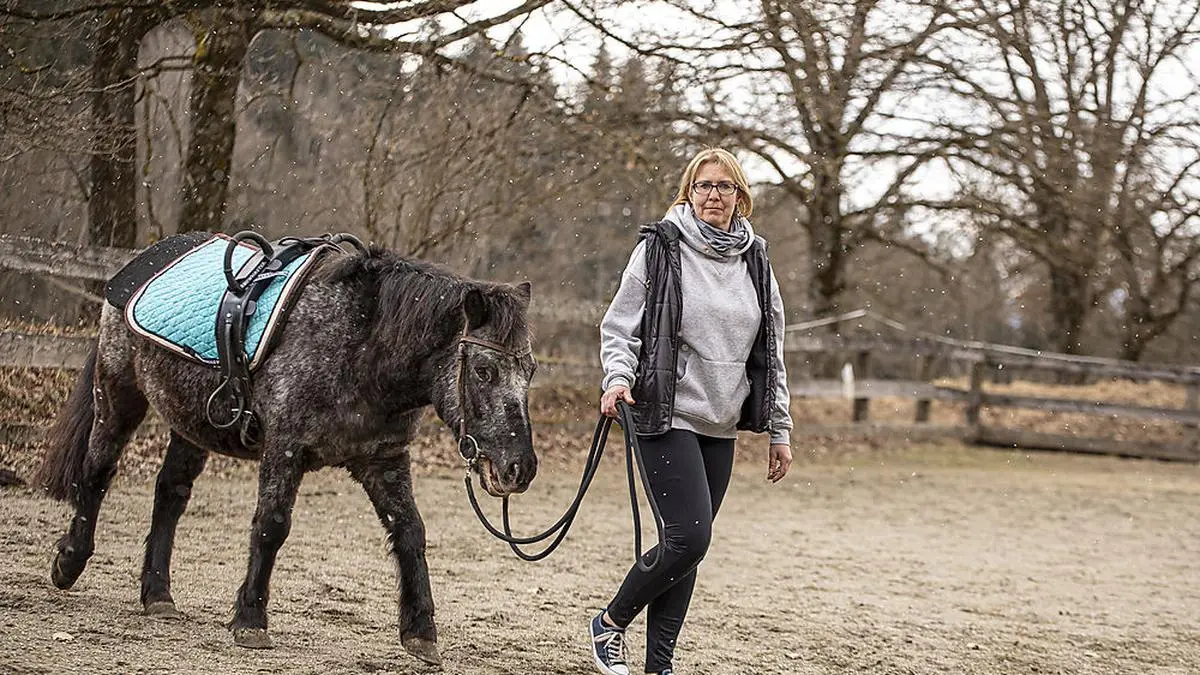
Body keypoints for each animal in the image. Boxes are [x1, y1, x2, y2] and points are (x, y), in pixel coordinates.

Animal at [34, 241, 539, 666]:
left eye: (530, 370)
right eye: (485, 370)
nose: (521, 468)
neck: (360, 346)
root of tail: (139, 264)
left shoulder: (383, 460)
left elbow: (410, 532)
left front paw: (420, 631)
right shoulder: (286, 448)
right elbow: (272, 526)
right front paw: (251, 619)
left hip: (191, 423)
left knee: (170, 494)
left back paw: (157, 594)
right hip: (118, 393)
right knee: (97, 472)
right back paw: (70, 561)